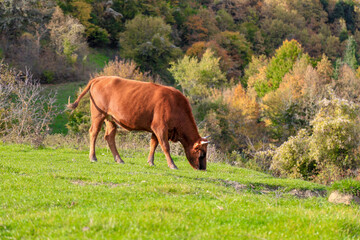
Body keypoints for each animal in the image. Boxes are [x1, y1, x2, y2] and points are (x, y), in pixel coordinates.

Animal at [66, 76, 210, 170]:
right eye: (202, 154)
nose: (203, 169)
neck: (175, 105)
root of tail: (100, 78)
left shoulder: (155, 129)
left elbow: (153, 144)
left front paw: (151, 162)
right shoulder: (160, 127)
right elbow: (165, 146)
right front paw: (172, 165)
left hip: (110, 119)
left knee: (109, 137)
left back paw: (119, 159)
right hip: (98, 114)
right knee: (93, 132)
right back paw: (93, 157)